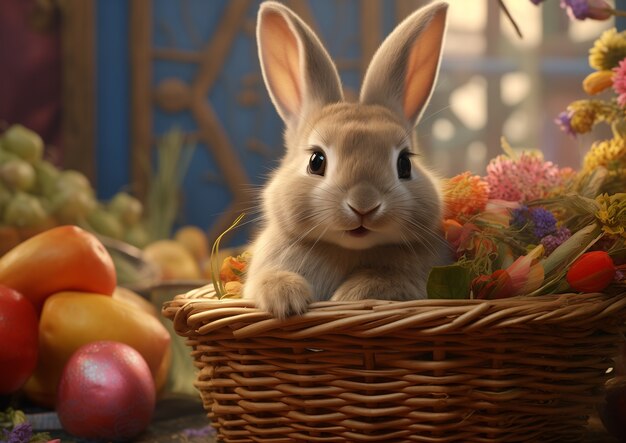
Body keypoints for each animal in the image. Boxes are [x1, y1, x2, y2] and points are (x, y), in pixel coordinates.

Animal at [241, 0, 450, 320]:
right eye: (316, 161)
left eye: (404, 164)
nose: (364, 205)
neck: (350, 248)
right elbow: (269, 279)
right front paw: (287, 300)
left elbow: (385, 282)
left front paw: (349, 297)